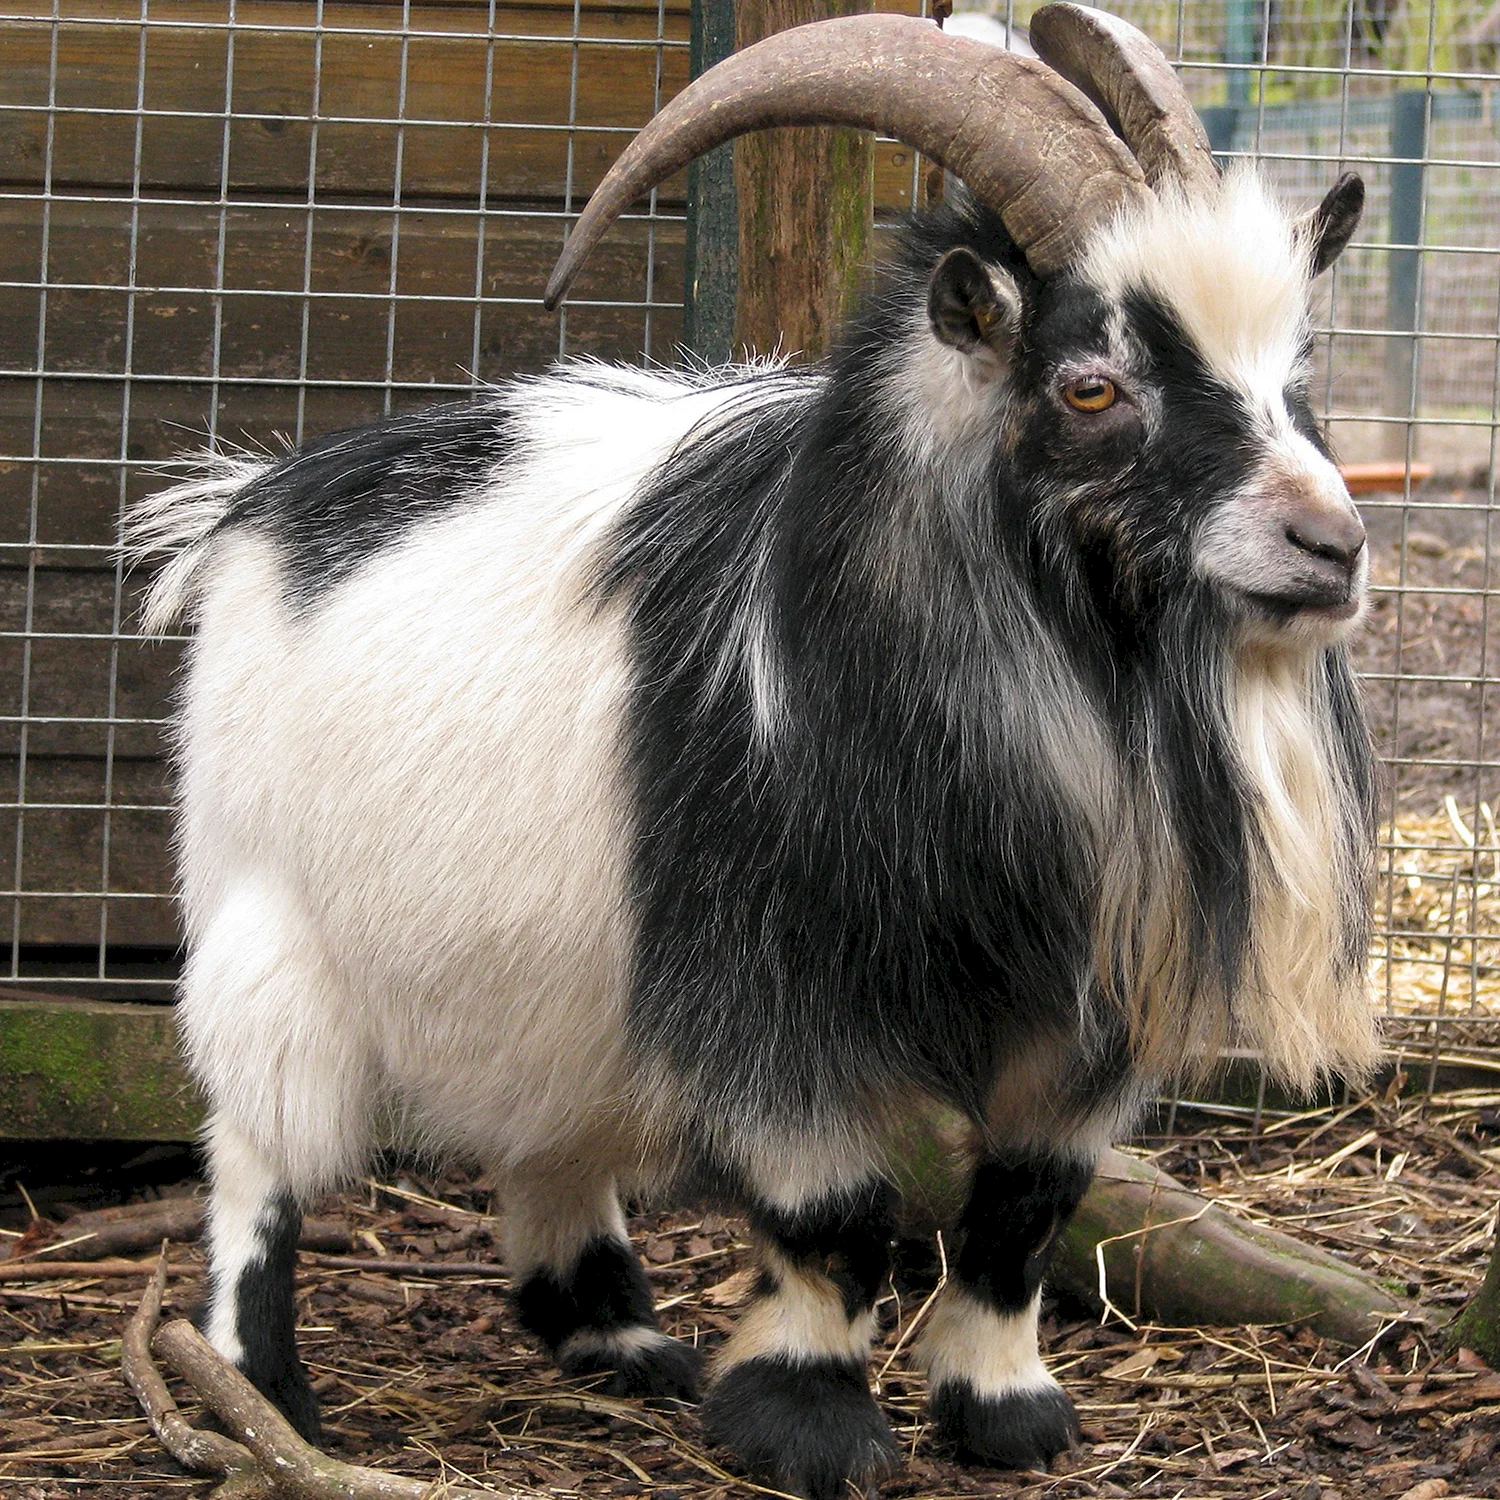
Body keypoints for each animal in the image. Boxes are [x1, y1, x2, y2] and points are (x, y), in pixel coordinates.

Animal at [126, 8, 1378, 1497]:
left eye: (1296, 376)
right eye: (1090, 385)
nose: (1333, 544)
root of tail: (254, 505)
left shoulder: (1080, 1007)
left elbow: (1025, 1205)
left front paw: (1004, 1409)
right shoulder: (771, 977)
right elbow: (834, 1208)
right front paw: (811, 1422)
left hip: (560, 972)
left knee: (549, 1132)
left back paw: (614, 1335)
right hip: (271, 919)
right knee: (255, 1147)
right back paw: (259, 1386)